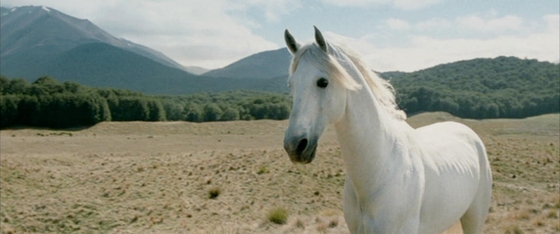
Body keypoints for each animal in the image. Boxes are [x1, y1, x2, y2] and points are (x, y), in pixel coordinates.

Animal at [282, 26, 492, 233]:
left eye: (323, 82)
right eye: (291, 85)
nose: (294, 146)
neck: (381, 167)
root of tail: (466, 130)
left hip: (474, 218)